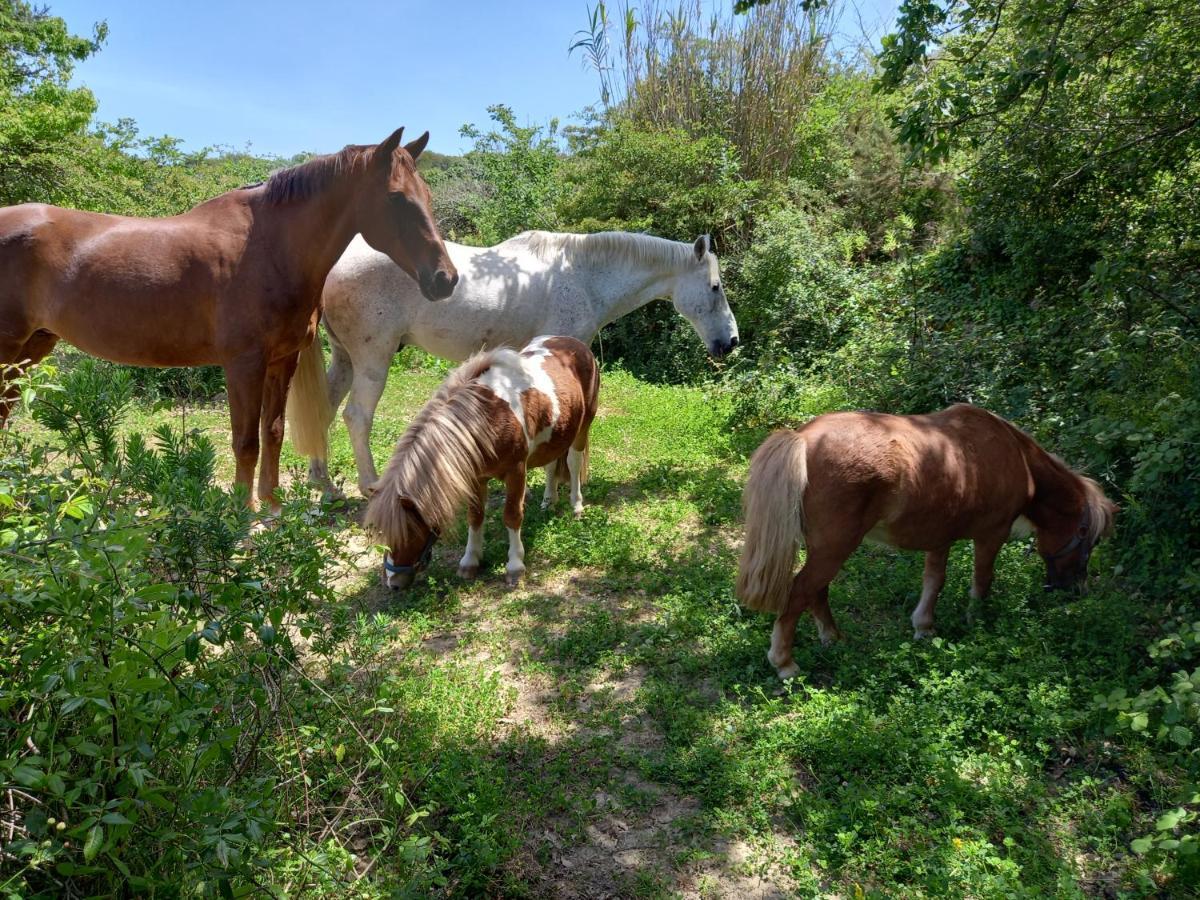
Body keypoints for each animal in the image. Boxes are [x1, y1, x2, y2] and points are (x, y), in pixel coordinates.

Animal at [0, 125, 456, 513]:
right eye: (396, 197)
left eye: (427, 194)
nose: (445, 279)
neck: (269, 248)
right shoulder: (243, 364)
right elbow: (246, 441)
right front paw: (242, 512)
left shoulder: (282, 361)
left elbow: (273, 431)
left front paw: (271, 505)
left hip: (31, 348)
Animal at [290, 229, 739, 496]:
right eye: (715, 287)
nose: (731, 342)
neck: (584, 276)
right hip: (373, 359)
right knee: (356, 416)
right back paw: (370, 486)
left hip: (345, 358)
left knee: (323, 410)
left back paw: (323, 482)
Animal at [360, 336, 595, 592]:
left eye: (409, 533)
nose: (393, 583)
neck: (491, 416)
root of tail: (574, 343)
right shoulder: (476, 476)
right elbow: (475, 516)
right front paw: (470, 561)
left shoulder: (516, 472)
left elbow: (512, 515)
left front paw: (515, 566)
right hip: (555, 434)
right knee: (551, 465)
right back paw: (548, 502)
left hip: (583, 426)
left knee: (573, 461)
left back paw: (576, 507)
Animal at [734, 405, 1118, 681]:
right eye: (1089, 539)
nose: (1076, 590)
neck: (1013, 457)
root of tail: (802, 439)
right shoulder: (991, 535)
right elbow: (981, 581)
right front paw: (976, 622)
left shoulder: (940, 537)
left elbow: (934, 581)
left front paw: (924, 627)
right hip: (834, 549)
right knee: (800, 592)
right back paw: (785, 663)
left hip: (825, 549)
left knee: (817, 592)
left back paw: (833, 639)